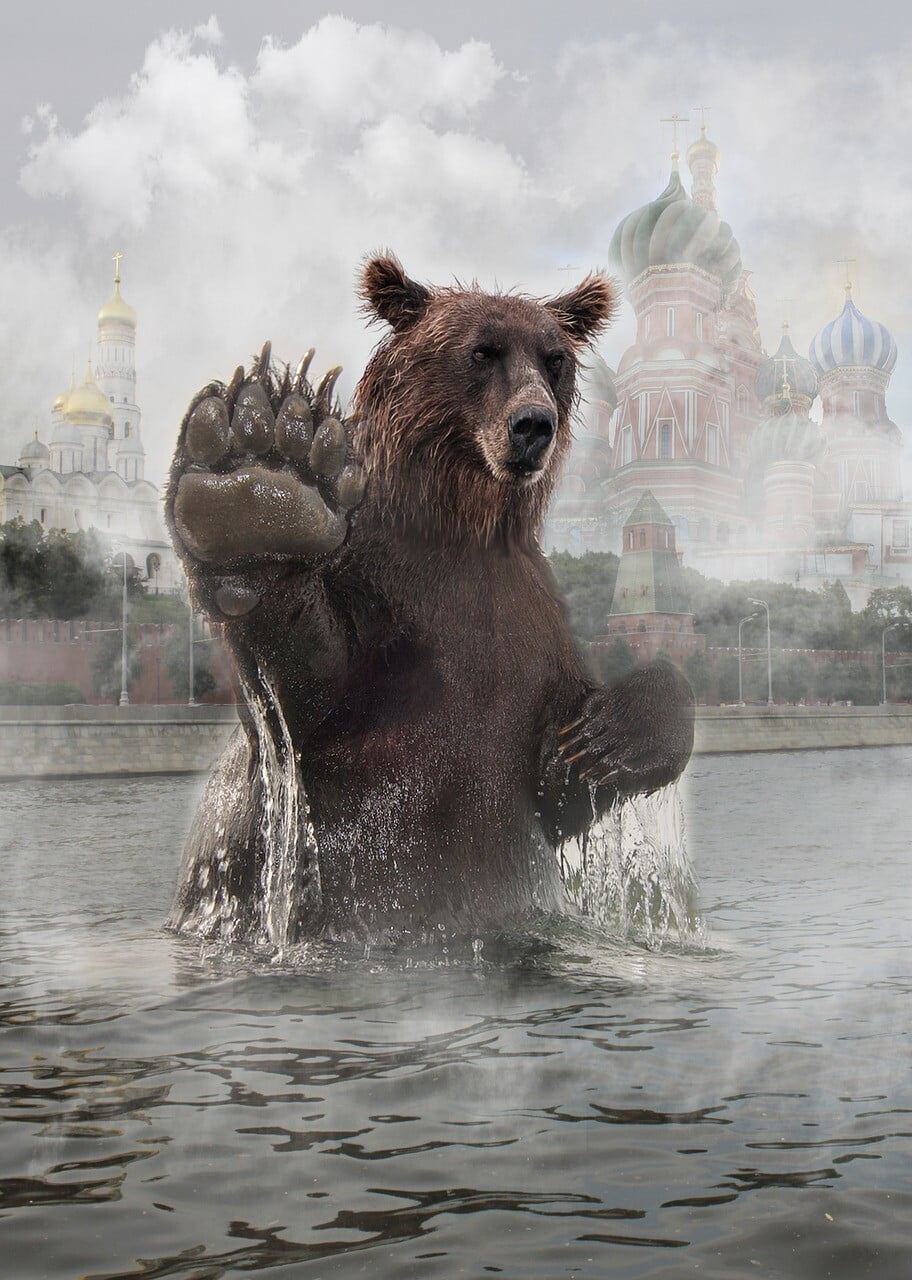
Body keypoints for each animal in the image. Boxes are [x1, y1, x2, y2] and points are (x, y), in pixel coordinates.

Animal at [164, 256, 694, 945]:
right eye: (481, 351)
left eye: (554, 357)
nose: (534, 424)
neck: (462, 525)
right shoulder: (380, 586)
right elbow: (307, 700)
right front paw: (264, 489)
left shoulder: (530, 622)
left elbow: (561, 784)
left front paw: (601, 740)